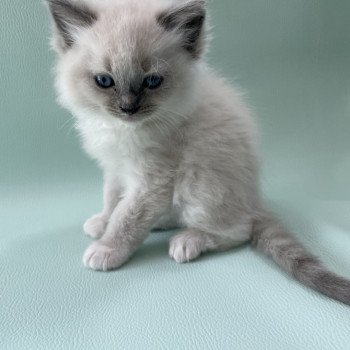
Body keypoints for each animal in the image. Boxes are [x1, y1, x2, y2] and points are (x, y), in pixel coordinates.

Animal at [46, 0, 350, 304]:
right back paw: (161, 223)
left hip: (198, 185)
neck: (123, 130)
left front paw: (107, 248)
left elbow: (127, 217)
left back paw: (188, 241)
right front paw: (102, 223)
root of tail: (254, 202)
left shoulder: (152, 181)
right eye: (104, 81)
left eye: (152, 81)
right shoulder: (116, 168)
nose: (128, 108)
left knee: (238, 230)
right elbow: (112, 200)